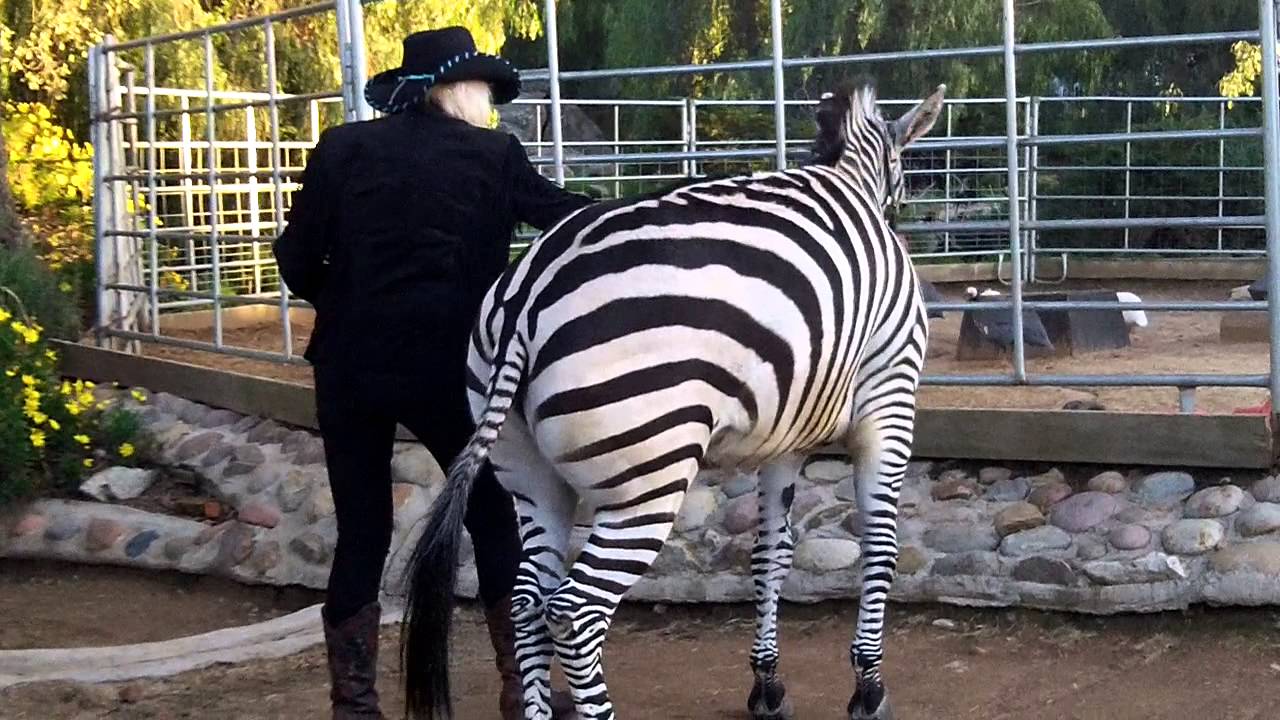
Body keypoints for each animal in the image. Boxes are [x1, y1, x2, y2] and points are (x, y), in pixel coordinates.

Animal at [400, 78, 945, 720]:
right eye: (902, 190)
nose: (903, 213)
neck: (850, 178)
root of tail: (525, 301)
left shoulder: (785, 432)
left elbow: (772, 553)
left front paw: (768, 684)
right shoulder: (889, 402)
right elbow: (880, 549)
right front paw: (869, 688)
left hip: (529, 476)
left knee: (527, 601)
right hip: (647, 476)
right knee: (576, 613)